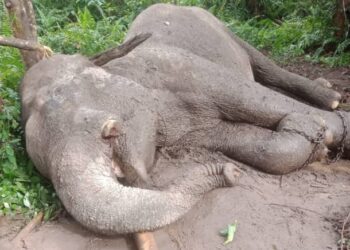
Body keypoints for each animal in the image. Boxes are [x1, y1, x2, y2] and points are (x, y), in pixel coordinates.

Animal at [21, 3, 348, 234]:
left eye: (109, 131)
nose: (230, 172)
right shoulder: (193, 131)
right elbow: (253, 147)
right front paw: (309, 135)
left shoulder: (185, 69)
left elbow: (252, 99)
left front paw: (321, 128)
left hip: (218, 24)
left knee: (264, 66)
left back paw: (330, 96)